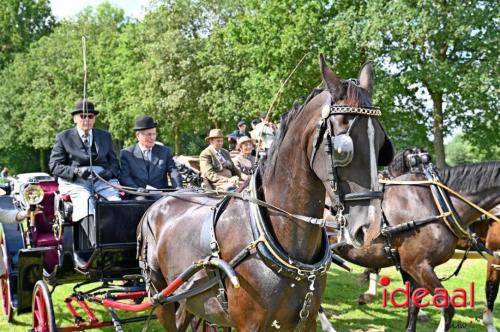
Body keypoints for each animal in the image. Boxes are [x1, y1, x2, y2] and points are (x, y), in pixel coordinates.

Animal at [138, 55, 394, 330]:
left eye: (382, 145)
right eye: (342, 150)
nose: (370, 227)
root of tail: (158, 202)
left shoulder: (307, 319)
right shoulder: (248, 324)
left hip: (190, 298)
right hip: (161, 297)